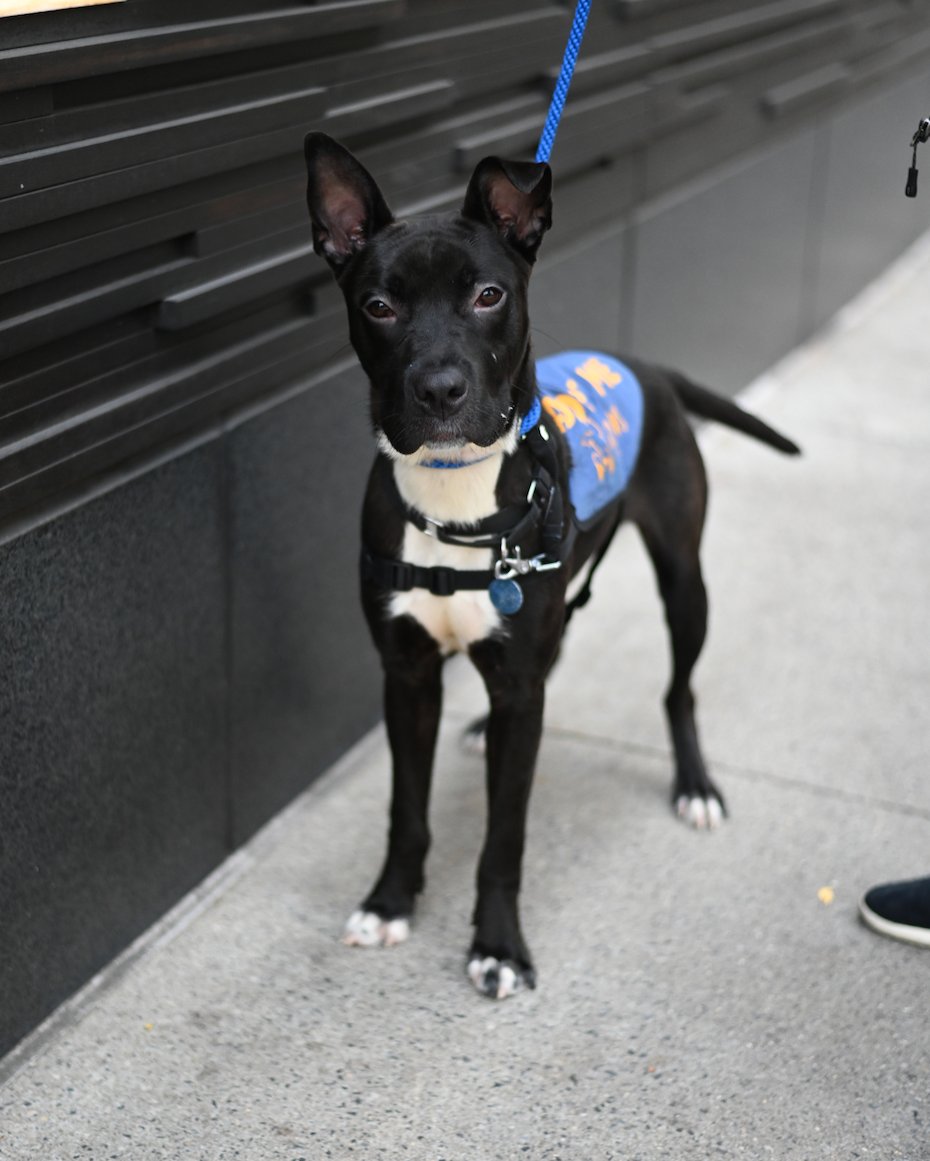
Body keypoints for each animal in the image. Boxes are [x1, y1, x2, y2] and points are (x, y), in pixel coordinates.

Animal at [304, 133, 798, 998]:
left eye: (488, 295)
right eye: (379, 306)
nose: (439, 389)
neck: (455, 490)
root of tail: (645, 364)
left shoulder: (515, 686)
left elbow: (504, 836)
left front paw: (498, 944)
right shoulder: (407, 673)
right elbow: (406, 808)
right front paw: (391, 900)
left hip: (685, 581)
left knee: (679, 689)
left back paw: (695, 784)